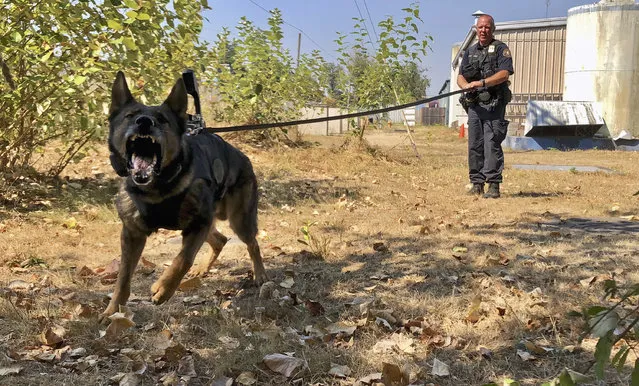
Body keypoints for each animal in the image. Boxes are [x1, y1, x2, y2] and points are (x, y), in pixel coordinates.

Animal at [99, 72, 268, 320]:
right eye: (130, 116)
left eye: (162, 119)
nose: (144, 122)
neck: (159, 188)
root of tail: (242, 156)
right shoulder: (132, 234)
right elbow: (123, 277)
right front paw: (112, 311)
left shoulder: (197, 224)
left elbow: (183, 258)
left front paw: (164, 288)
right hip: (208, 223)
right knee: (220, 240)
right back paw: (203, 269)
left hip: (238, 220)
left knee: (252, 243)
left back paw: (260, 274)